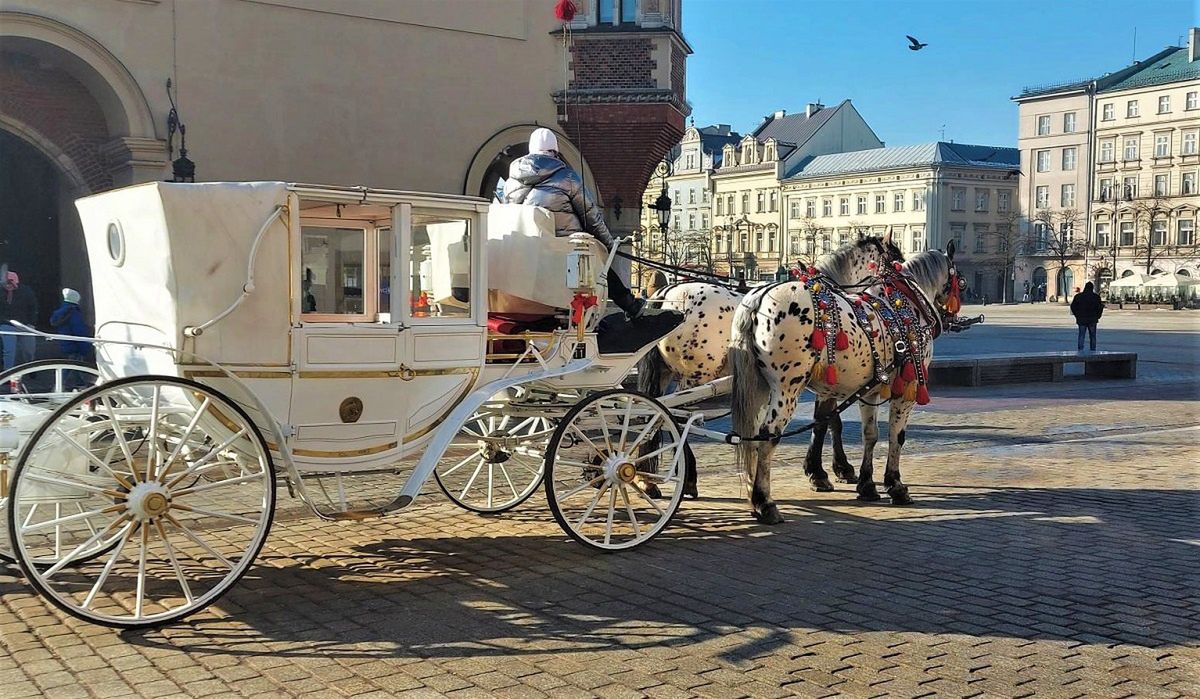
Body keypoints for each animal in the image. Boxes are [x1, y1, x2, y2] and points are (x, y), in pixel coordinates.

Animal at [724, 246, 960, 526]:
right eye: (960, 281)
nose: (953, 317)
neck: (906, 303)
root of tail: (757, 297)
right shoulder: (906, 390)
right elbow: (896, 436)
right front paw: (895, 485)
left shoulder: (868, 389)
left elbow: (867, 434)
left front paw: (865, 484)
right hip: (786, 388)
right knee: (768, 436)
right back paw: (765, 502)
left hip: (755, 386)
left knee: (748, 435)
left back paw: (752, 493)